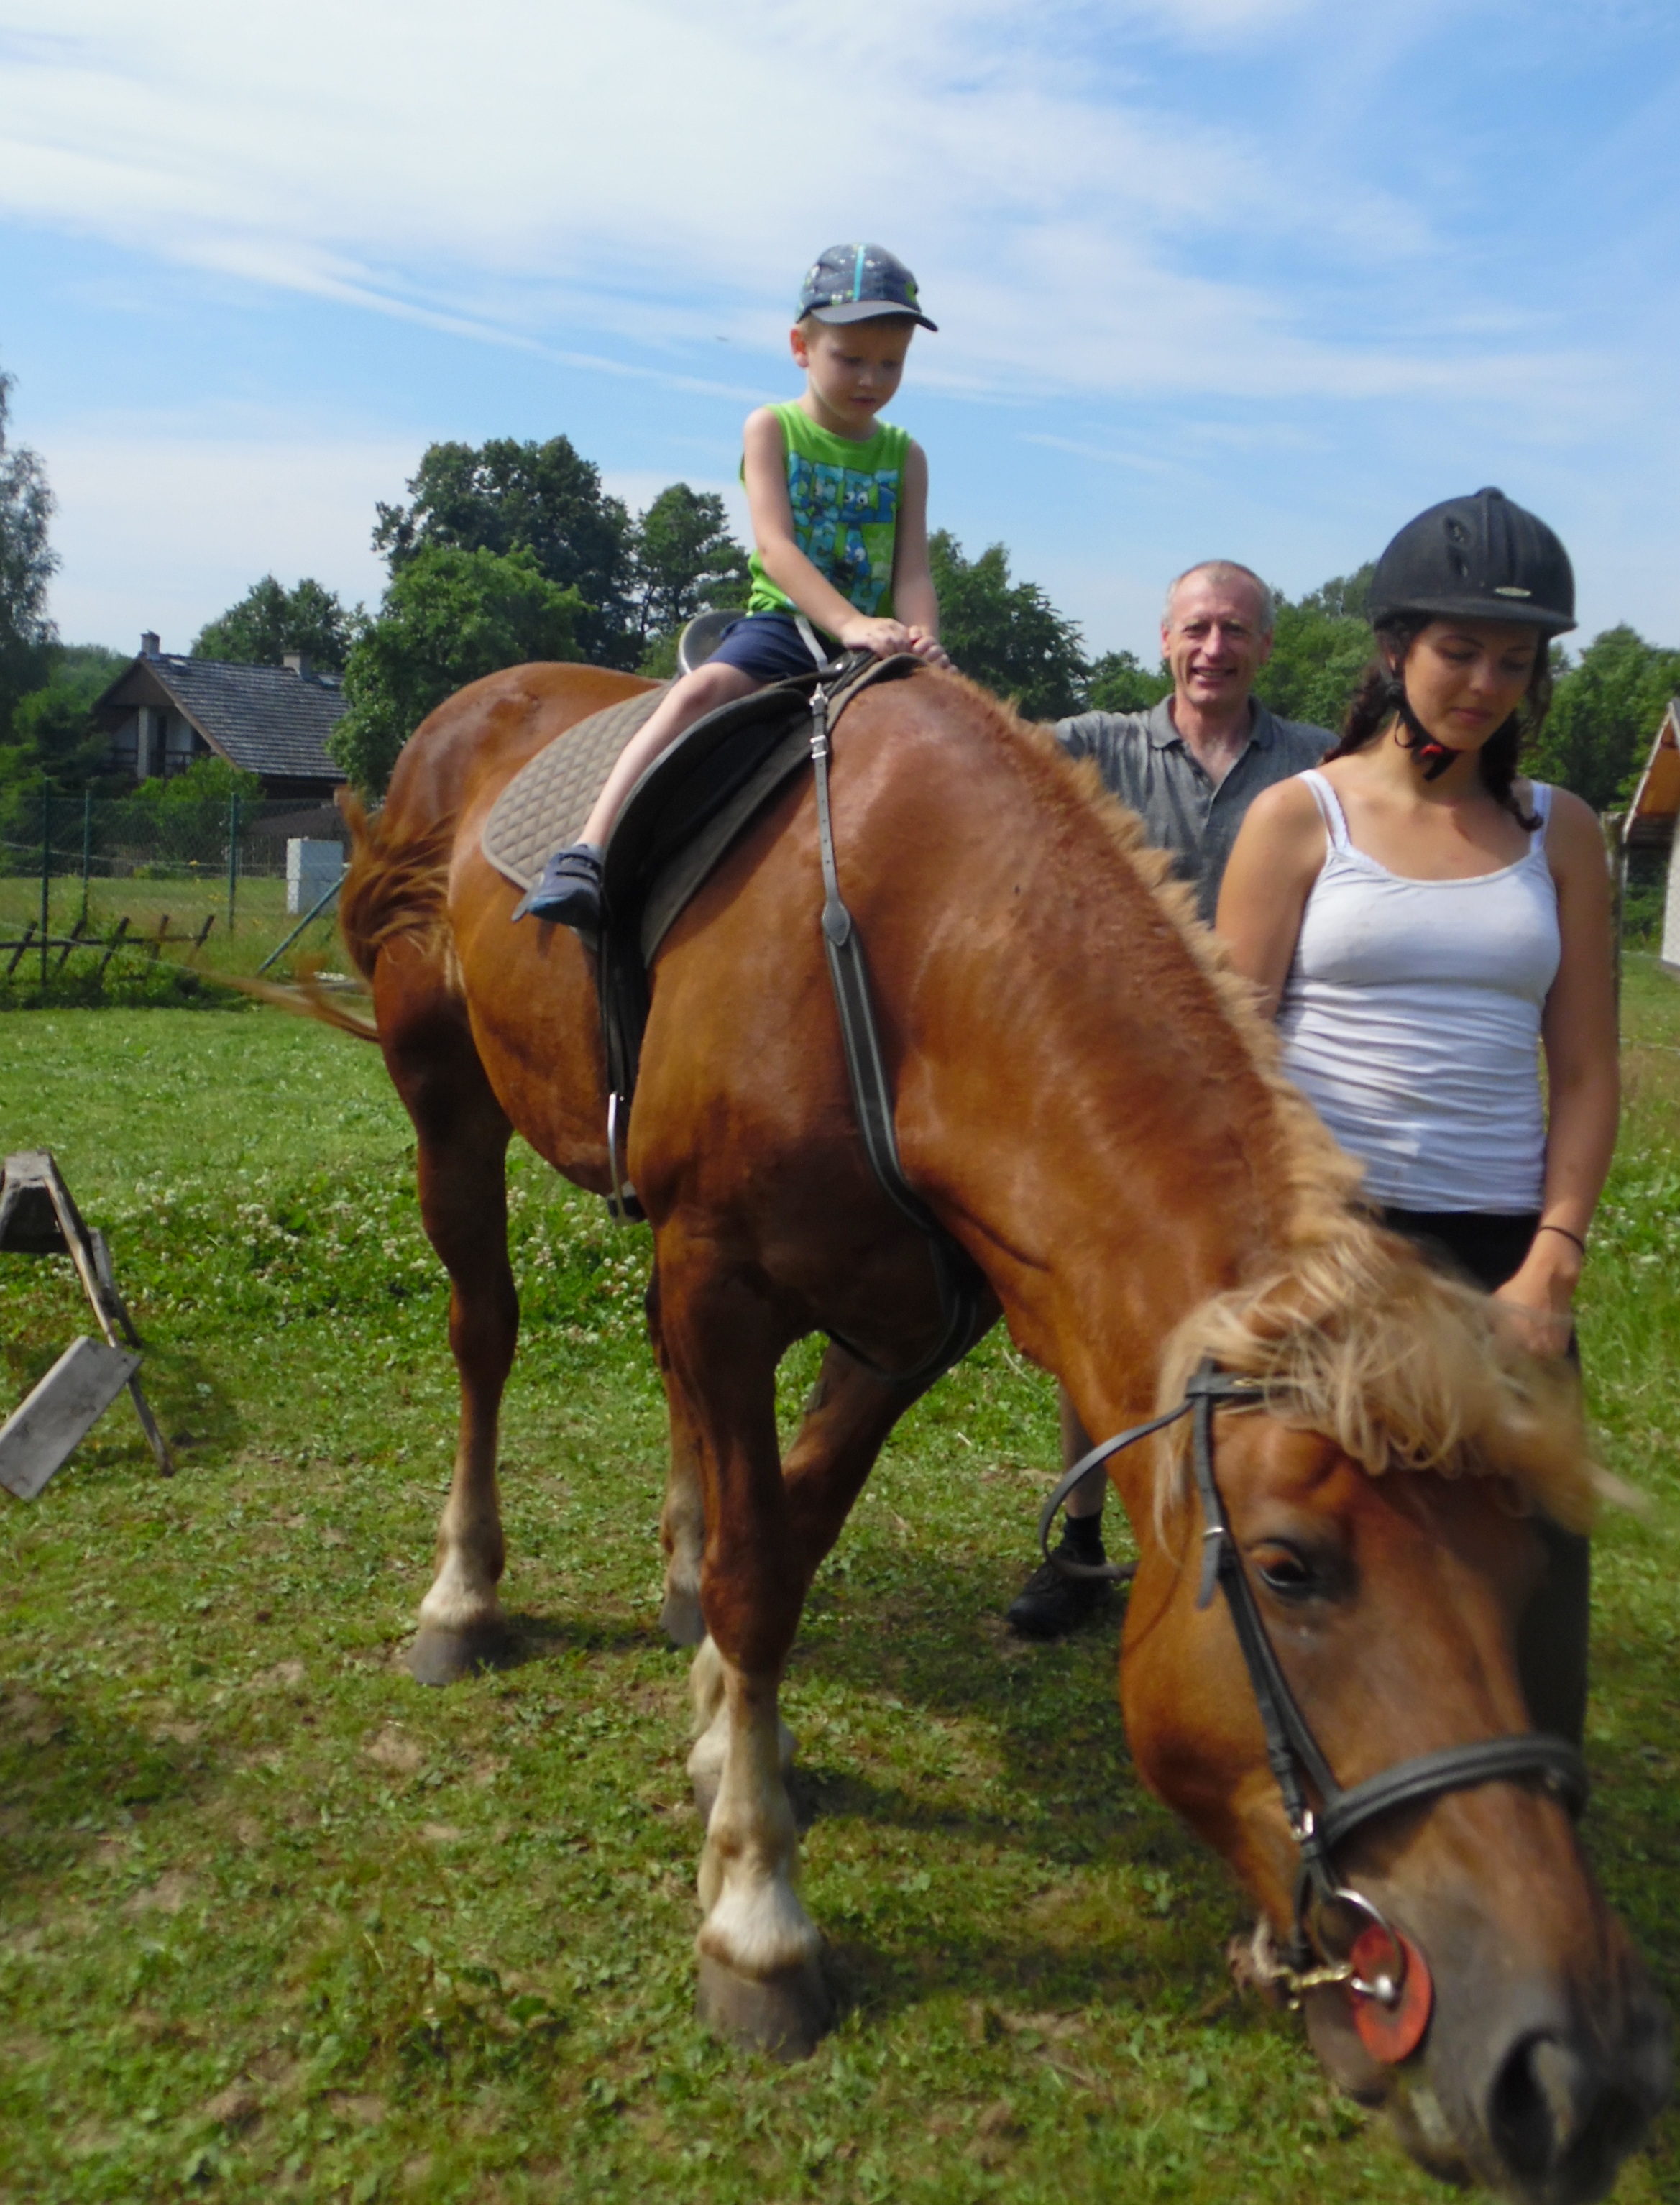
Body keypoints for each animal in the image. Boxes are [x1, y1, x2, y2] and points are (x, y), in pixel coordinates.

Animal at [317, 656, 1667, 2202]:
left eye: (1529, 1568)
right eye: (1287, 1569)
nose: (1572, 2068)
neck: (914, 953)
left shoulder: (902, 1325)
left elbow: (783, 1540)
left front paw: (725, 1732)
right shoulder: (723, 1272)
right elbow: (760, 1580)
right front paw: (758, 1917)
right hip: (445, 1093)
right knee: (483, 1330)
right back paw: (463, 1596)